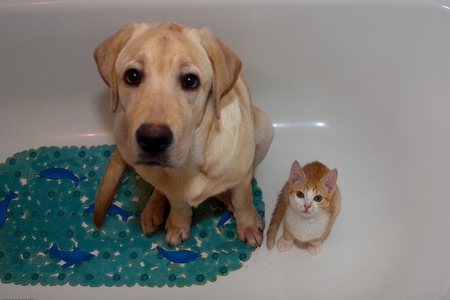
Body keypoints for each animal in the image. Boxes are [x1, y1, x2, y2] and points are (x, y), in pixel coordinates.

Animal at [93, 22, 272, 247]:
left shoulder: (242, 178)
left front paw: (247, 225)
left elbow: (243, 201)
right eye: (132, 76)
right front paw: (178, 225)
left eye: (190, 80)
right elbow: (178, 203)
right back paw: (153, 209)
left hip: (265, 128)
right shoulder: (173, 192)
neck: (191, 162)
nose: (153, 140)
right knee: (159, 187)